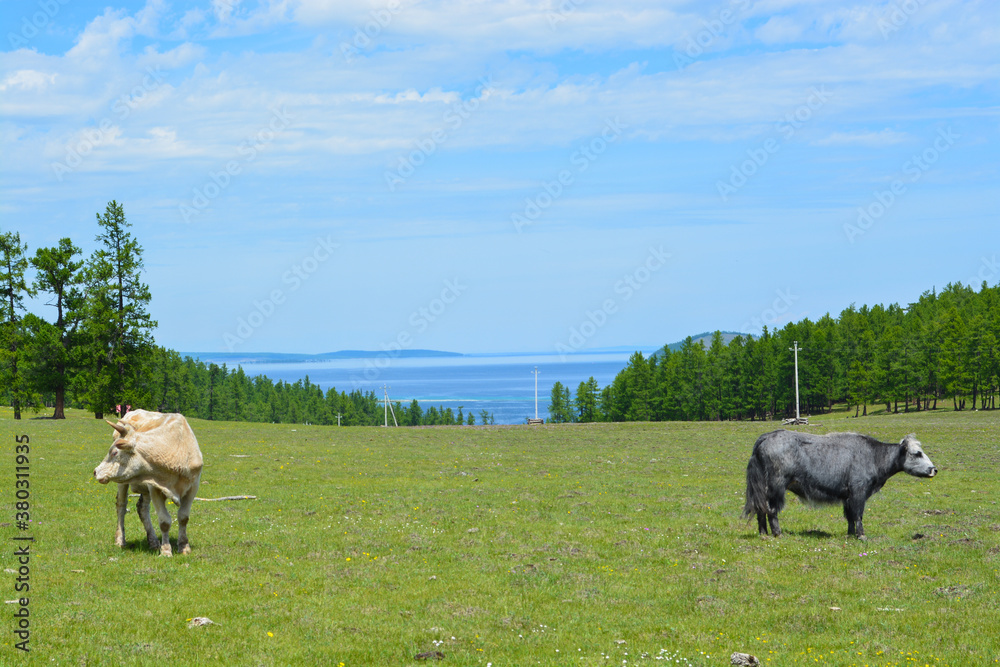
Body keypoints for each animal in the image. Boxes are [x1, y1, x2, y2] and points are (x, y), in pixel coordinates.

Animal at [93, 410, 203, 556]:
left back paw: (153, 542)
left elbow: (183, 517)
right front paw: (166, 551)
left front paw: (184, 547)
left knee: (142, 508)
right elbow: (164, 521)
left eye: (114, 452)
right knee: (121, 505)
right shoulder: (154, 487)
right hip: (123, 482)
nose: (95, 471)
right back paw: (120, 540)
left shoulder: (193, 487)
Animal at [743, 430, 937, 539]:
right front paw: (861, 536)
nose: (933, 469)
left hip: (764, 488)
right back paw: (777, 533)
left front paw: (850, 534)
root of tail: (766, 438)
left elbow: (850, 516)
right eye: (917, 453)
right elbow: (858, 515)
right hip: (776, 486)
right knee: (771, 510)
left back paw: (763, 534)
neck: (874, 455)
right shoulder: (858, 492)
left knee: (761, 509)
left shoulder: (847, 496)